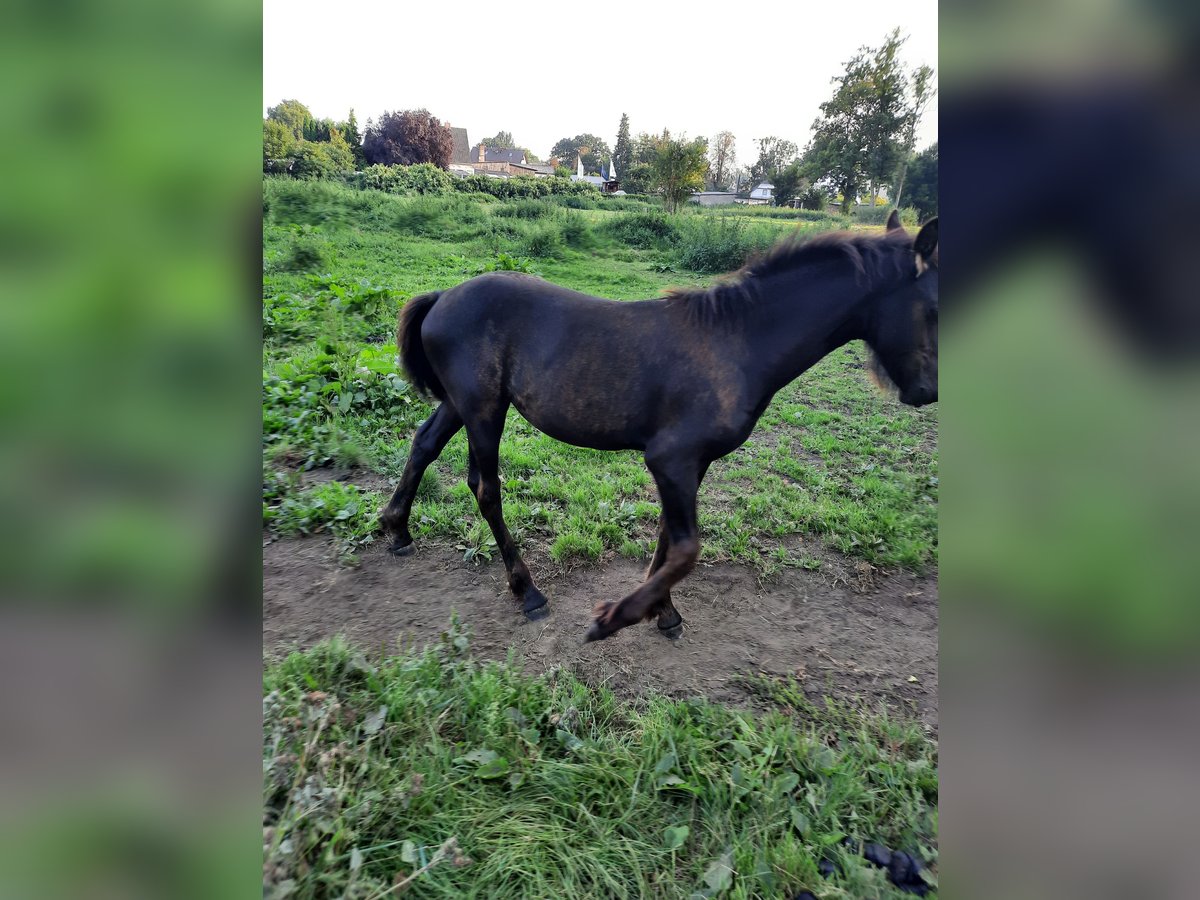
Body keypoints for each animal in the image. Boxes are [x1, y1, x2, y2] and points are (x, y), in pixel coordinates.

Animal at [376, 217, 936, 643]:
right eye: (931, 309)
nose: (927, 391)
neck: (736, 342)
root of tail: (443, 295)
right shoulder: (670, 459)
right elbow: (687, 548)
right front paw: (613, 618)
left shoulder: (691, 464)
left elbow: (669, 537)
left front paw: (662, 611)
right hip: (484, 411)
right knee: (485, 488)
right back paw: (527, 591)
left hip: (461, 404)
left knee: (424, 444)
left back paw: (397, 529)